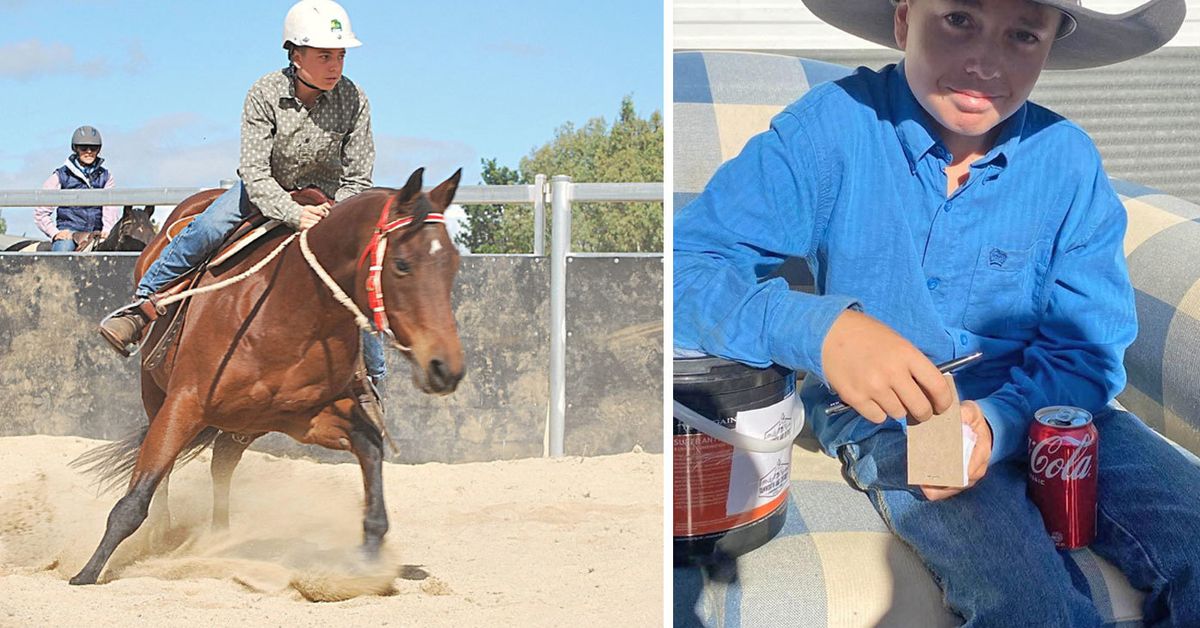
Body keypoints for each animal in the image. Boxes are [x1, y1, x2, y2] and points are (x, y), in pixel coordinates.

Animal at [68, 168, 465, 585]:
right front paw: (86, 574)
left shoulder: (305, 416)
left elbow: (370, 445)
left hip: (245, 424)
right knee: (168, 468)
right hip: (155, 390)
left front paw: (368, 557)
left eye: (453, 263)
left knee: (222, 463)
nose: (445, 367)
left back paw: (219, 540)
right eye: (402, 264)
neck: (292, 306)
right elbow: (135, 499)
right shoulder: (184, 401)